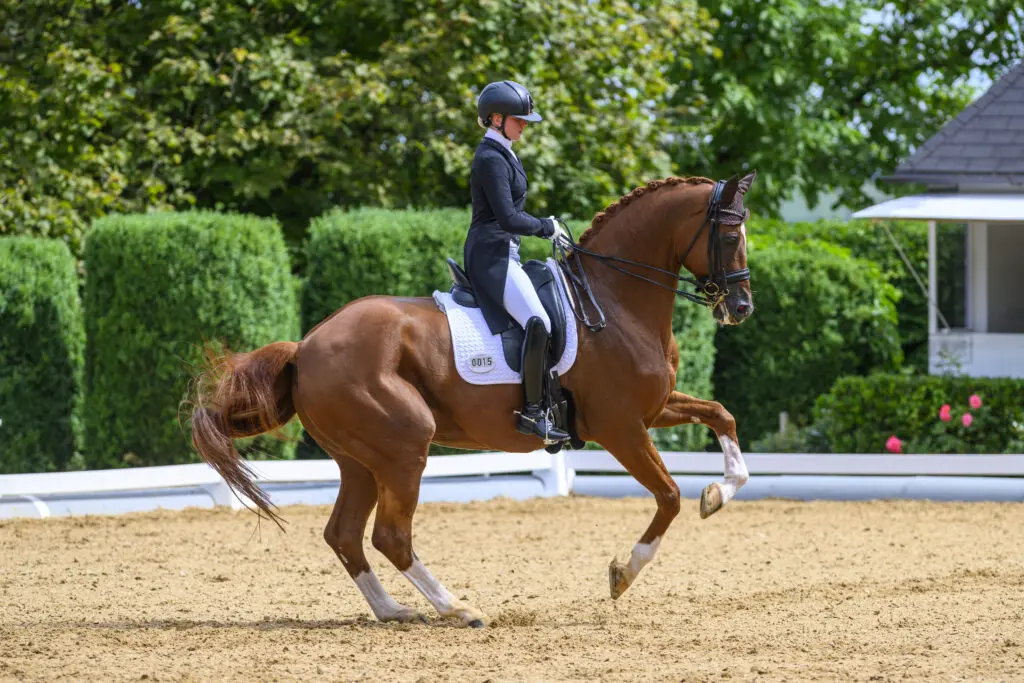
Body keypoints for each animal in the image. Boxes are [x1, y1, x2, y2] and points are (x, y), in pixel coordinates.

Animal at [189, 170, 758, 628]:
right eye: (731, 233)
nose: (741, 308)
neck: (612, 301)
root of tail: (305, 347)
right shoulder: (620, 427)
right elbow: (669, 495)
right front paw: (624, 573)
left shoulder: (652, 410)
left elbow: (722, 417)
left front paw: (719, 493)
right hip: (403, 447)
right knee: (390, 536)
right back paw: (458, 608)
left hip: (361, 460)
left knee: (344, 534)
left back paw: (394, 611)